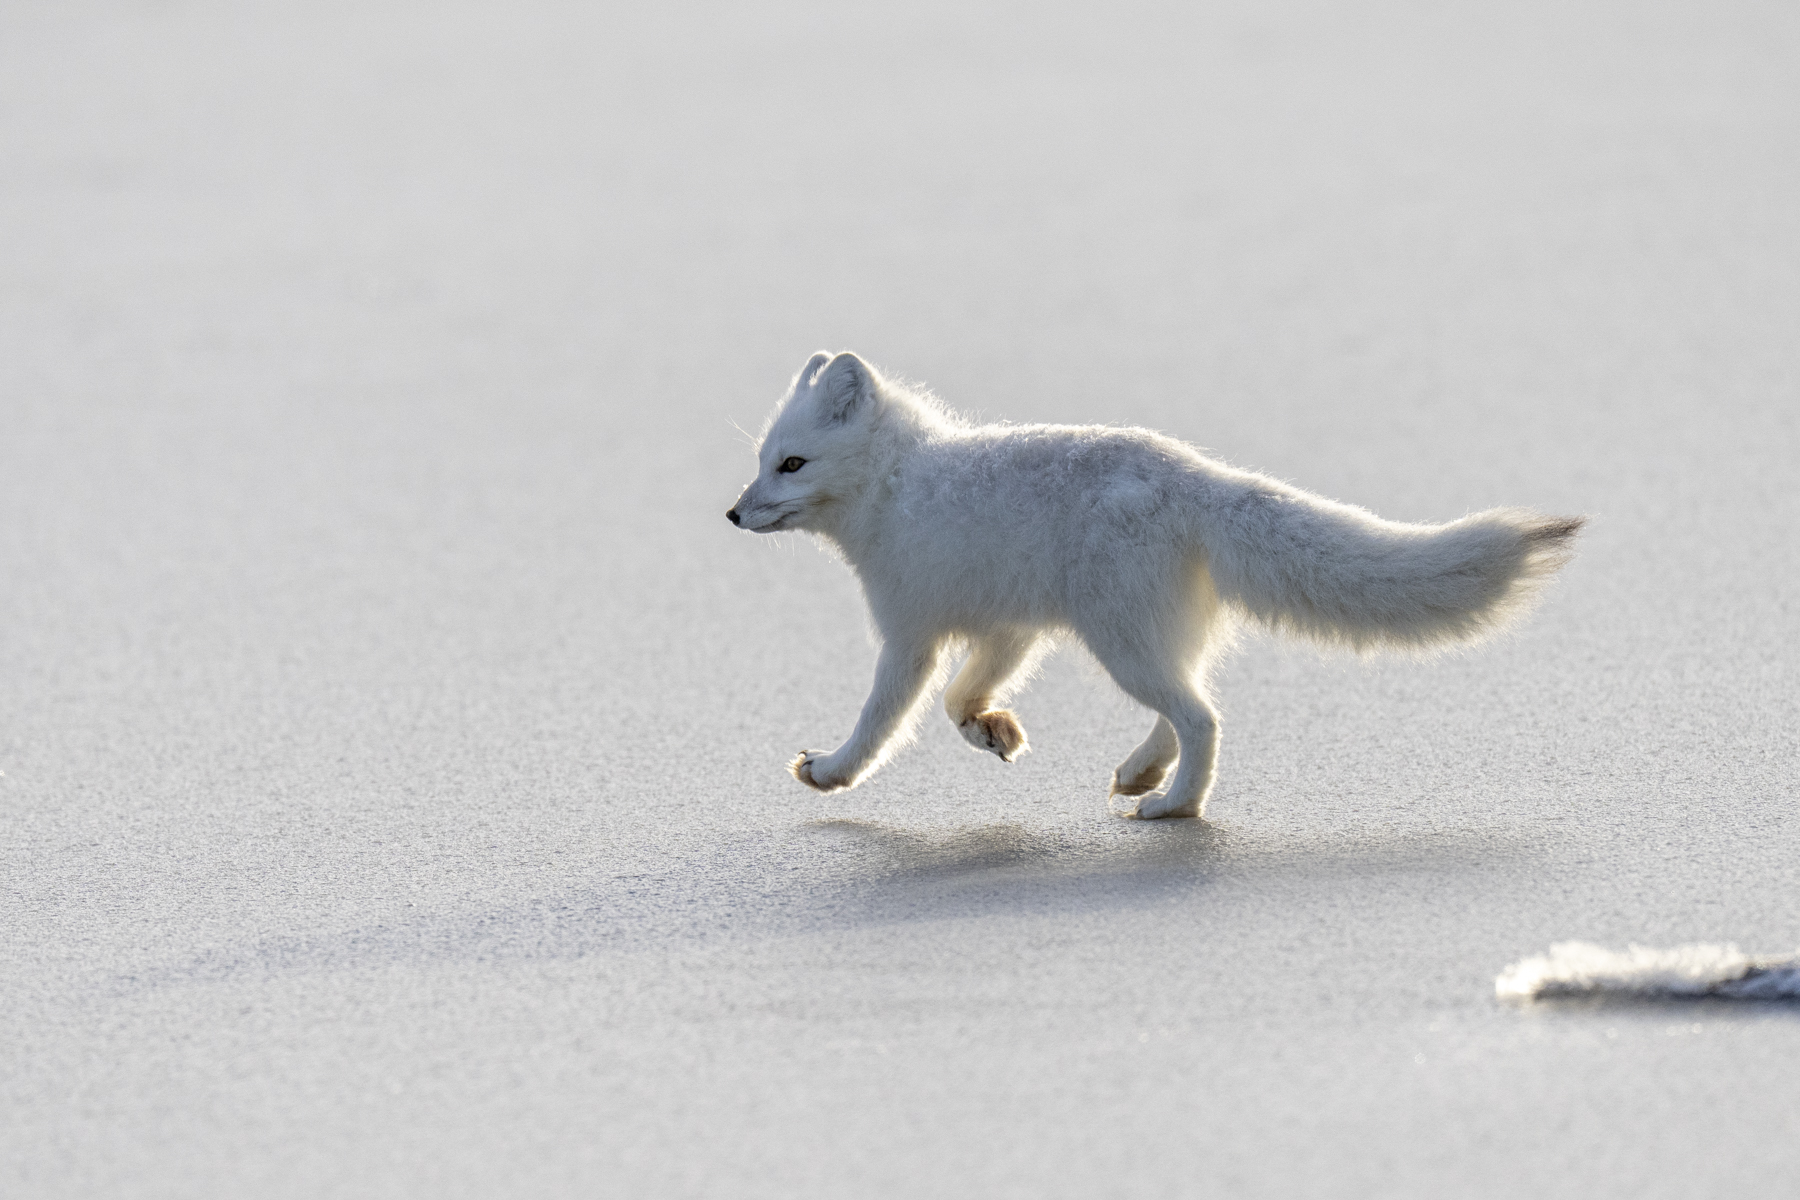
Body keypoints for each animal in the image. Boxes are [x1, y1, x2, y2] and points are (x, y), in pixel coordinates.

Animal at [727, 351, 1583, 819]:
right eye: (764, 460)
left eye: (792, 464)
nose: (733, 513)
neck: (898, 483)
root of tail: (1194, 474)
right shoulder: (1008, 627)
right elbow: (959, 697)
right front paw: (989, 729)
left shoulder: (910, 635)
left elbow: (883, 719)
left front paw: (832, 772)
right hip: (1145, 638)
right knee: (1190, 705)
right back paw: (1144, 772)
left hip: (1121, 643)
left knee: (1202, 716)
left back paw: (1175, 805)